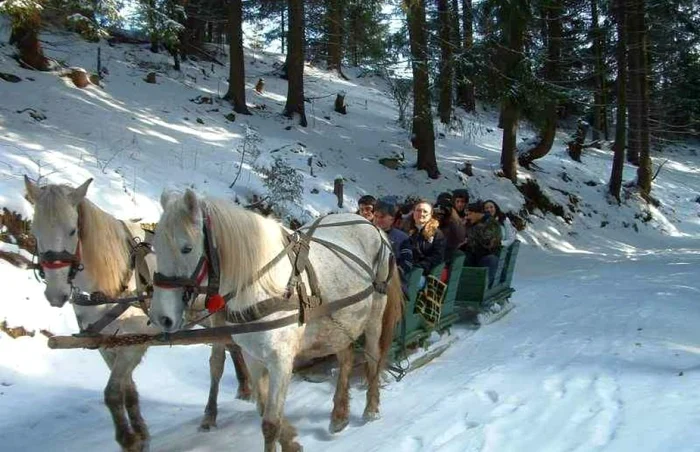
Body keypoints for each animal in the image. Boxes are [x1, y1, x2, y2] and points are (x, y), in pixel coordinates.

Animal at [25, 177, 254, 452]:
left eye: (72, 231)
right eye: (34, 232)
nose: (55, 294)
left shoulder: (134, 344)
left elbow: (113, 393)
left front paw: (128, 439)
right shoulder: (108, 344)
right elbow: (128, 390)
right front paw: (140, 433)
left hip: (216, 314)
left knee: (218, 360)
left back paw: (212, 412)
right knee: (233, 345)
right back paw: (245, 386)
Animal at [150, 191, 402, 452]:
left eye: (187, 248)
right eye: (155, 246)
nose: (161, 317)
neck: (262, 284)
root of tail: (373, 227)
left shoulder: (281, 360)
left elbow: (270, 422)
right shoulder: (252, 355)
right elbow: (263, 408)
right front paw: (290, 441)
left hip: (374, 316)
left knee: (372, 358)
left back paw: (371, 408)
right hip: (339, 322)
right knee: (346, 358)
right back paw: (339, 415)